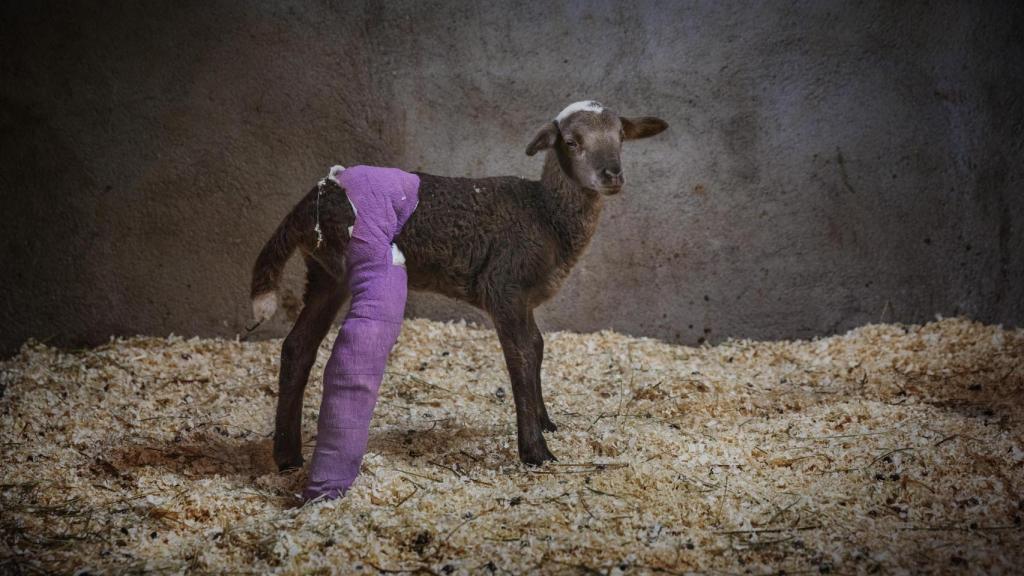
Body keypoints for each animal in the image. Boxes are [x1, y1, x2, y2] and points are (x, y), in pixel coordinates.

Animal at [251, 101, 668, 471]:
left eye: (620, 137)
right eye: (571, 141)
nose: (612, 175)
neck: (545, 214)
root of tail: (311, 200)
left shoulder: (525, 298)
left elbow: (537, 347)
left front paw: (546, 422)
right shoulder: (504, 287)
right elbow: (521, 357)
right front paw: (535, 451)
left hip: (325, 274)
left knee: (297, 347)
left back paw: (287, 457)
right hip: (352, 259)